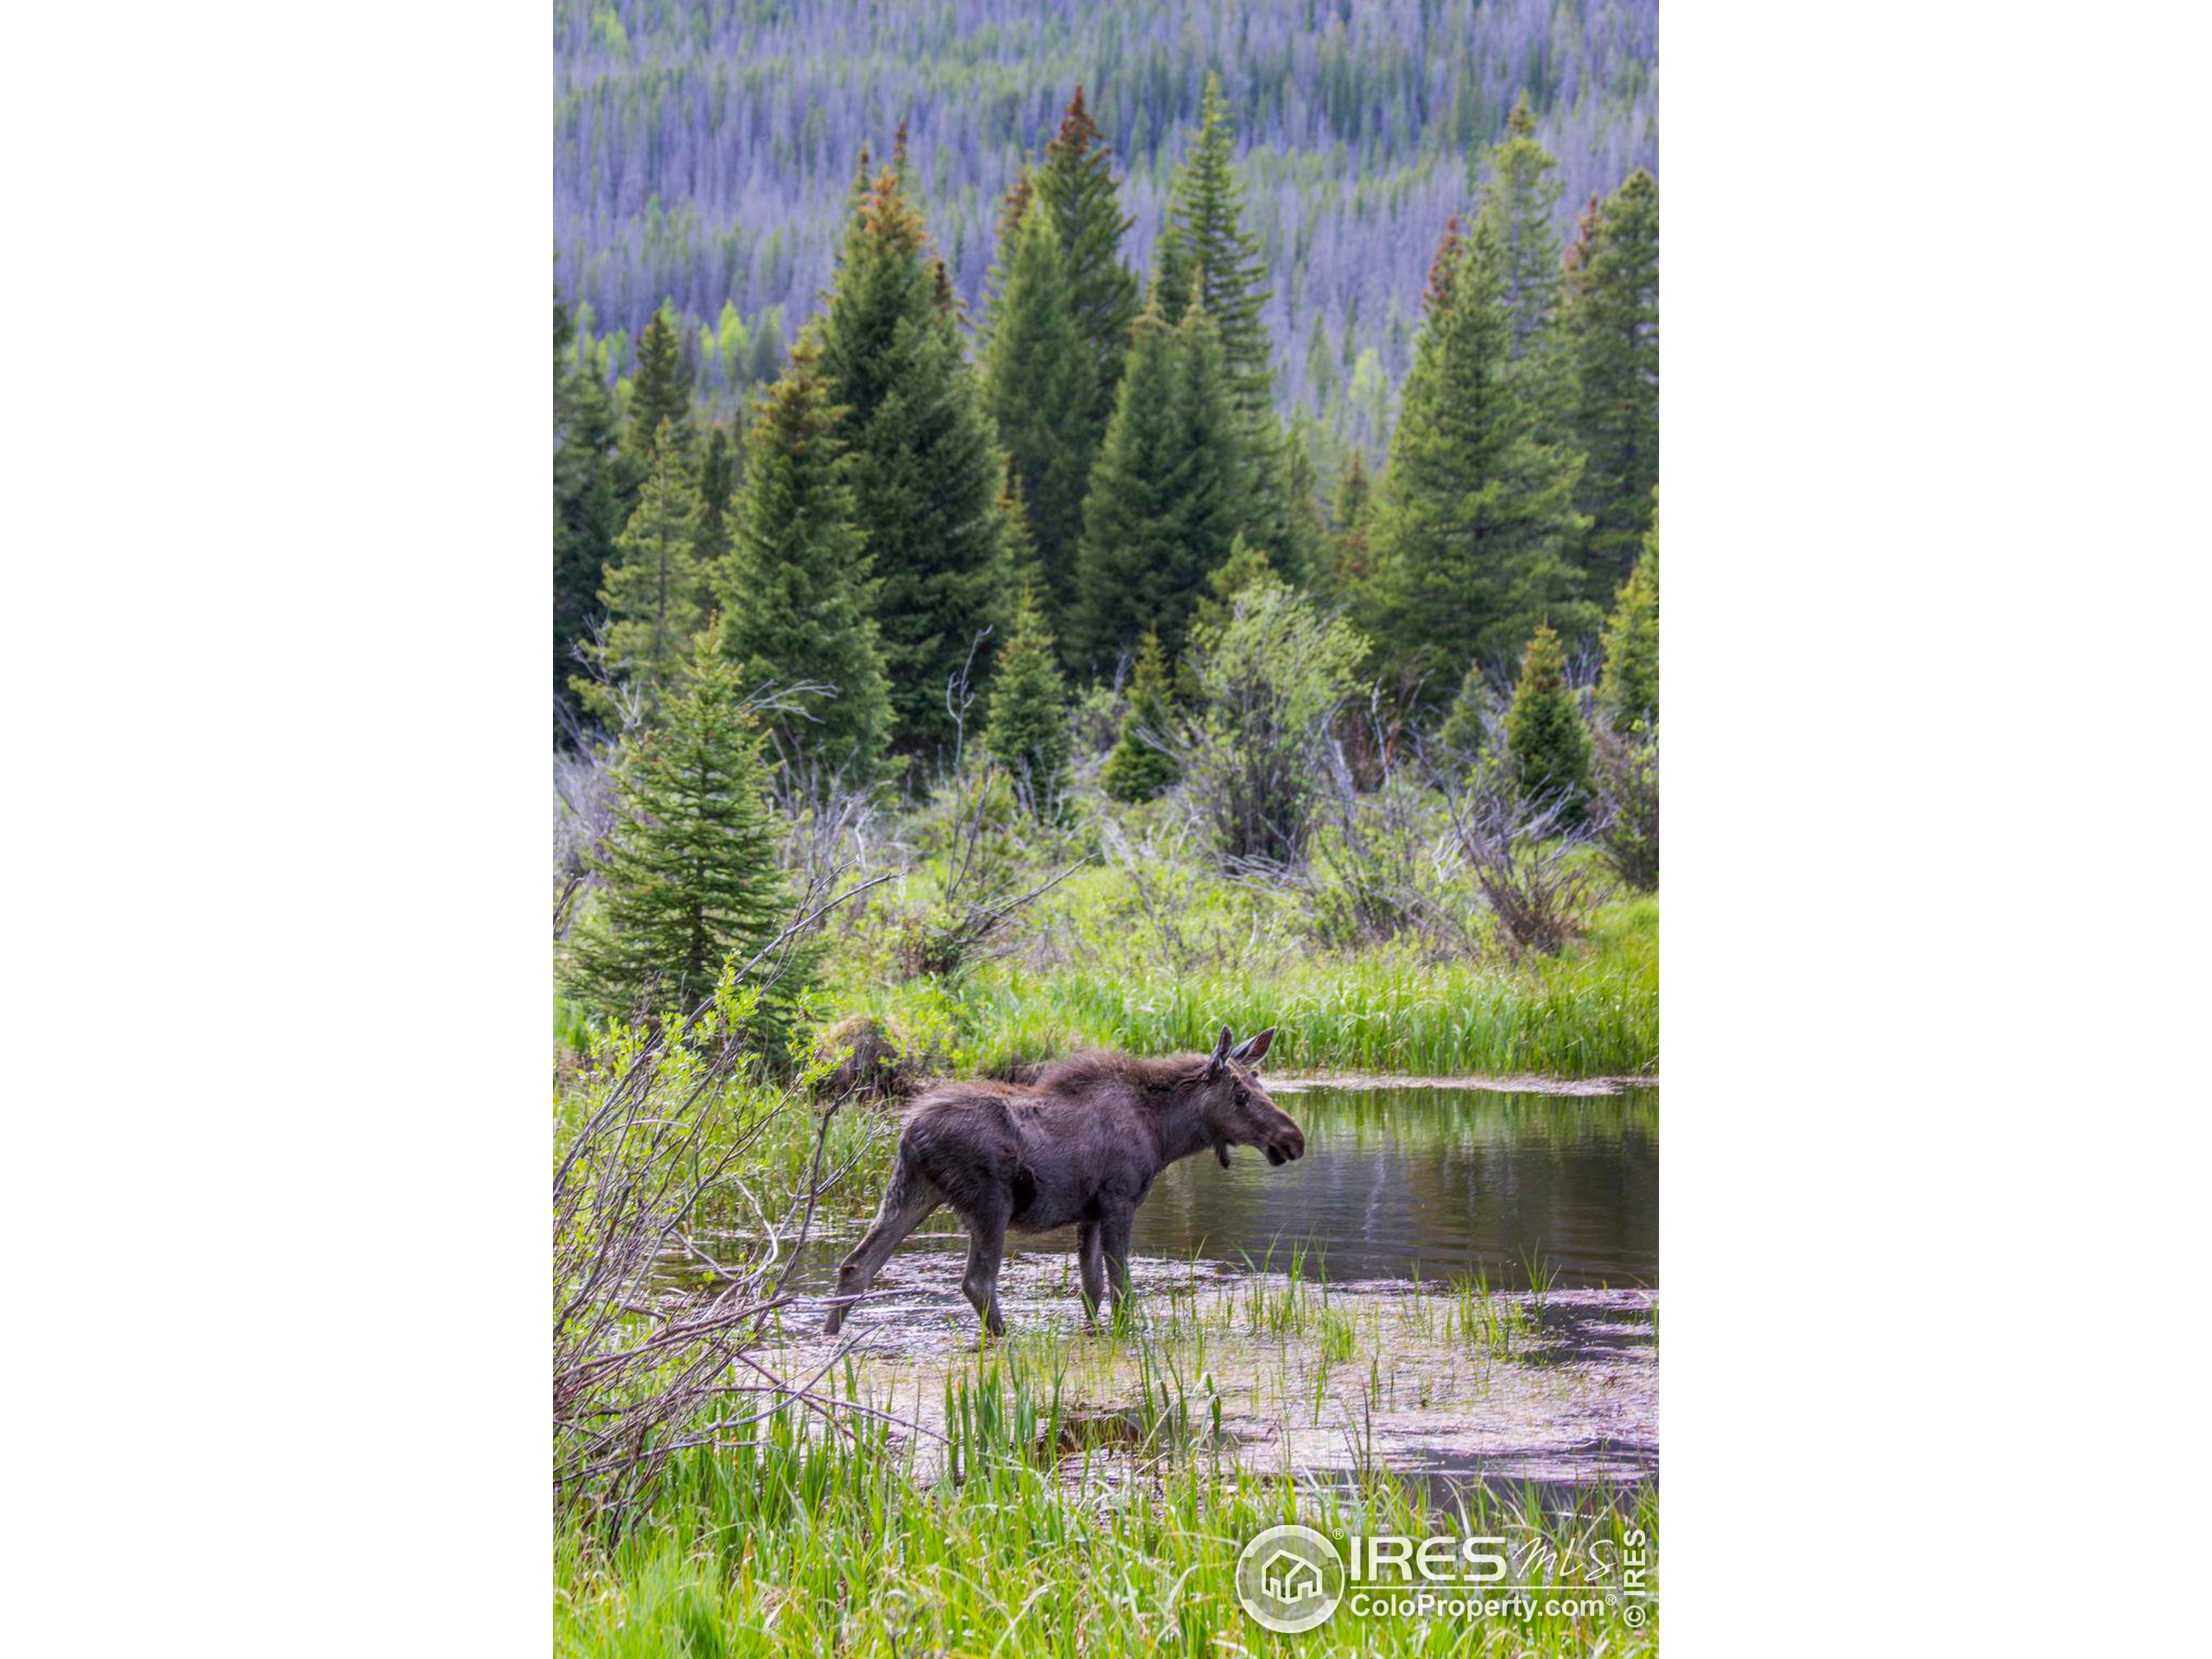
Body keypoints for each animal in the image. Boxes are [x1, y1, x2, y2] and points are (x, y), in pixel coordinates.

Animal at [831, 1026, 1309, 1336]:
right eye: (1241, 1094)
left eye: (1260, 1083)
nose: (1293, 1139)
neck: (1164, 1135)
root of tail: (911, 1132)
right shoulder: (1119, 1199)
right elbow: (1121, 1289)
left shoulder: (1090, 1212)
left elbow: (1091, 1289)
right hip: (989, 1203)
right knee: (977, 1282)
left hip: (911, 1191)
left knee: (856, 1266)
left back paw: (831, 1337)